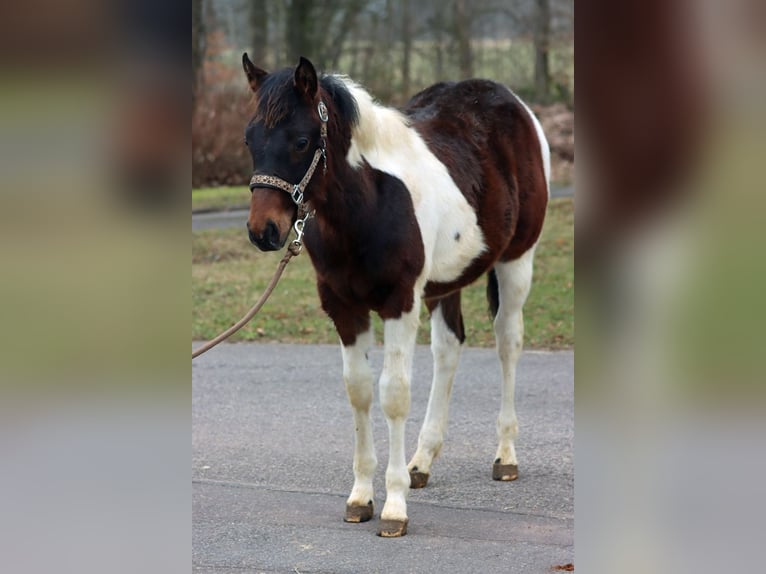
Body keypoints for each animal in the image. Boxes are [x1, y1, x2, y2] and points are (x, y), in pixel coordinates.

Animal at [241, 54, 549, 537]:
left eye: (301, 140)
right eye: (250, 138)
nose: (263, 231)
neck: (367, 204)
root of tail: (513, 103)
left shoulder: (400, 303)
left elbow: (394, 394)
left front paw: (394, 507)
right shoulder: (343, 308)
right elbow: (359, 391)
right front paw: (361, 497)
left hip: (517, 261)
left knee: (508, 343)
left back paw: (505, 457)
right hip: (446, 281)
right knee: (449, 348)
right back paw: (422, 462)